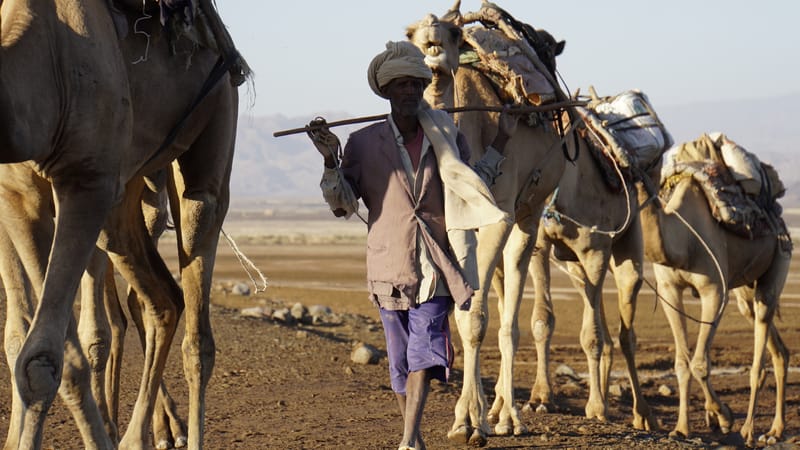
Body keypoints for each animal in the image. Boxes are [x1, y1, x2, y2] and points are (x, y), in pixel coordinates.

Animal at [0, 0, 244, 446]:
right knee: (163, 298)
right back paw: (136, 436)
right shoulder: (17, 192)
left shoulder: (87, 181)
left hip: (216, 121)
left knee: (197, 335)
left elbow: (46, 358)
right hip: (123, 202)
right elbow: (29, 345)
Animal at [410, 0, 572, 442]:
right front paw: (466, 417)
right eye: (409, 34)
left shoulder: (499, 214)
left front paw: (472, 419)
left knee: (511, 310)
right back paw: (498, 408)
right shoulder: (453, 221)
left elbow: (479, 317)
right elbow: (467, 312)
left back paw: (509, 415)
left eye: (452, 33)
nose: (431, 39)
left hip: (529, 212)